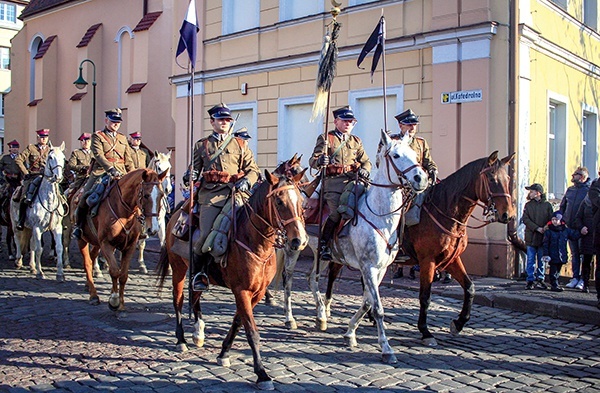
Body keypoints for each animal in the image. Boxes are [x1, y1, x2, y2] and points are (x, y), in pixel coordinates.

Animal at [11, 142, 67, 280]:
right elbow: (39, 249)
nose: (58, 177)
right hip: (15, 224)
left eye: (63, 158)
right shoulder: (37, 227)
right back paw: (18, 261)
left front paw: (60, 273)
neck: (49, 200)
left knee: (31, 244)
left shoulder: (57, 227)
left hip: (29, 228)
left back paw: (32, 266)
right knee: (17, 238)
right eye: (50, 157)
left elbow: (59, 248)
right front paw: (40, 272)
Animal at [74, 168, 165, 310]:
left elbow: (123, 275)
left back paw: (88, 285)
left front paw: (121, 303)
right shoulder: (106, 244)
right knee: (87, 262)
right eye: (146, 195)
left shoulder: (129, 246)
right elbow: (115, 271)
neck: (124, 213)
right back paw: (93, 295)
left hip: (97, 242)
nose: (154, 229)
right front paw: (114, 299)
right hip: (82, 239)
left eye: (161, 195)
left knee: (93, 256)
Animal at [155, 159, 308, 388]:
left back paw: (198, 331)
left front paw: (224, 352)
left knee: (196, 295)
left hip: (197, 273)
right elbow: (251, 330)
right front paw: (262, 373)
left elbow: (238, 322)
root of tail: (176, 213)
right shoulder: (241, 291)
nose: (300, 240)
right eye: (280, 202)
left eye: (300, 201)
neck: (255, 242)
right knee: (179, 301)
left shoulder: (257, 293)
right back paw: (181, 339)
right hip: (179, 268)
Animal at [278, 130, 428, 362]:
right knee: (289, 279)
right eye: (395, 155)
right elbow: (377, 307)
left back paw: (321, 316)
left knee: (311, 278)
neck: (379, 216)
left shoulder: (380, 269)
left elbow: (367, 303)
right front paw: (386, 348)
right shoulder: (368, 267)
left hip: (321, 255)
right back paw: (289, 318)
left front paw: (350, 332)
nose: (421, 178)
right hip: (293, 248)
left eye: (414, 154)